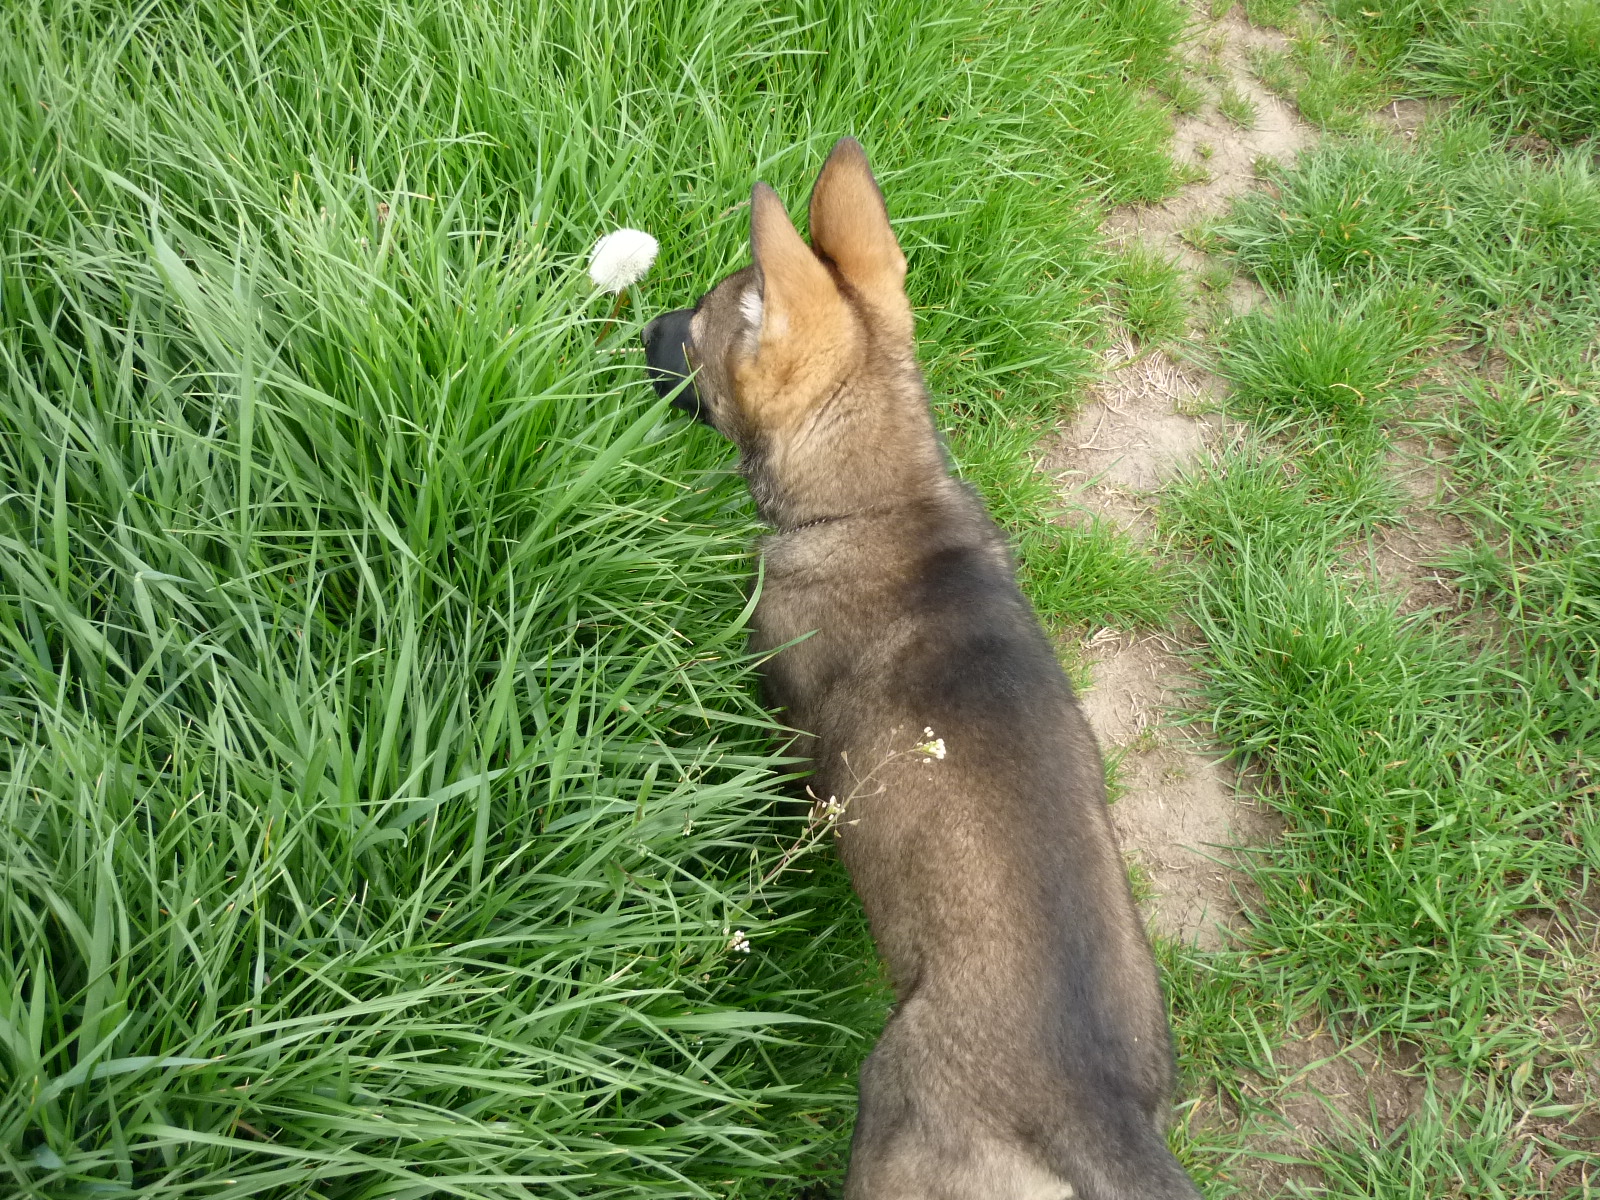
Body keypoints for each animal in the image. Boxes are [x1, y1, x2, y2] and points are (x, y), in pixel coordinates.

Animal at [642, 138, 1203, 1200]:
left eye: (694, 332)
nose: (643, 329)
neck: (886, 502)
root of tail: (1093, 1110)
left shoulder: (790, 727)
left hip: (892, 1121)